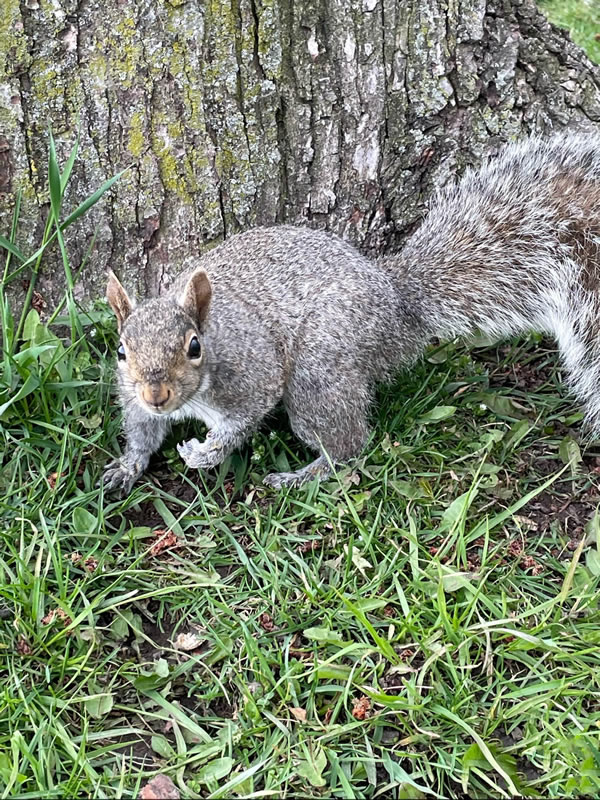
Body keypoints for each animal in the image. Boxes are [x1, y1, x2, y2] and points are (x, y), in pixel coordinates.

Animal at [103, 130, 600, 494]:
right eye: (122, 352)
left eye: (194, 347)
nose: (157, 395)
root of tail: (397, 299)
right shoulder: (133, 397)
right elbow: (141, 430)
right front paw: (127, 465)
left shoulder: (252, 374)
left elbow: (243, 420)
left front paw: (205, 453)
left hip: (321, 365)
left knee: (347, 443)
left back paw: (299, 477)